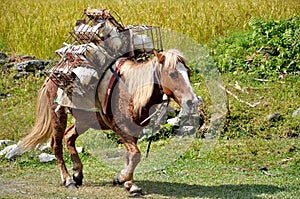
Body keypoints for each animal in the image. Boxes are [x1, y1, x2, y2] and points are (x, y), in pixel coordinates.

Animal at [10, 8, 199, 196]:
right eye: (173, 74)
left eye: (188, 72)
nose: (192, 102)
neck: (131, 92)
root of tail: (53, 75)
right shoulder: (120, 128)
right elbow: (135, 155)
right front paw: (123, 179)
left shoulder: (134, 129)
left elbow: (131, 155)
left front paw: (128, 183)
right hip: (58, 115)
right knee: (56, 145)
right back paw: (68, 180)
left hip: (85, 119)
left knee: (69, 136)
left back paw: (78, 173)